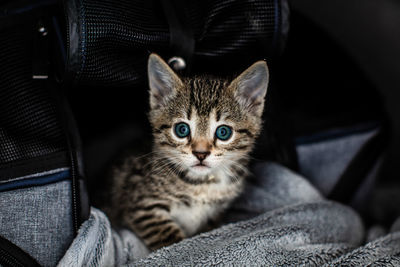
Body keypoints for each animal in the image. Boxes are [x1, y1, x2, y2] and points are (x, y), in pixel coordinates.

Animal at [106, 54, 268, 251]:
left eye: (223, 132)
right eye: (181, 129)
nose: (200, 153)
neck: (203, 184)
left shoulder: (217, 211)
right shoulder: (141, 204)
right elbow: (169, 238)